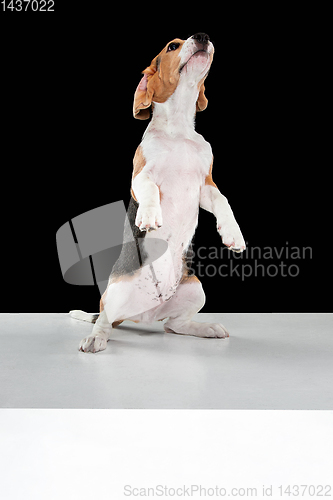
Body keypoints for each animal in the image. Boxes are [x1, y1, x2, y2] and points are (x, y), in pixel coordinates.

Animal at [76, 33, 245, 354]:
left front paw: (233, 234)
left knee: (173, 325)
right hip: (114, 292)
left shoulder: (206, 186)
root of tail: (145, 314)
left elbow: (223, 201)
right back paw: (95, 338)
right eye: (172, 46)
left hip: (196, 289)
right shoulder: (140, 176)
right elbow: (150, 188)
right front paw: (150, 215)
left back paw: (204, 328)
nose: (203, 37)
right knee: (105, 320)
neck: (178, 130)